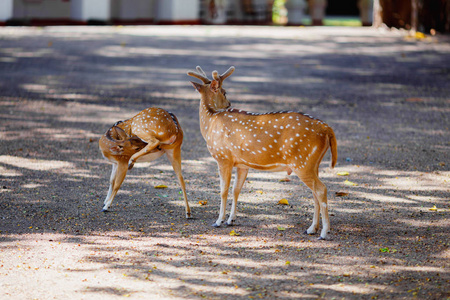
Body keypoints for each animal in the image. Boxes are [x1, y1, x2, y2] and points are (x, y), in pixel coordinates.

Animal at [187, 65, 338, 239]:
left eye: (225, 91)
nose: (229, 103)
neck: (210, 123)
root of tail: (327, 129)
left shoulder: (223, 157)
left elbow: (223, 191)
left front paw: (218, 221)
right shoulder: (242, 164)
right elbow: (236, 190)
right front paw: (231, 220)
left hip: (302, 161)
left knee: (321, 190)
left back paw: (324, 232)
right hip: (313, 163)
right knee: (315, 192)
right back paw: (312, 228)